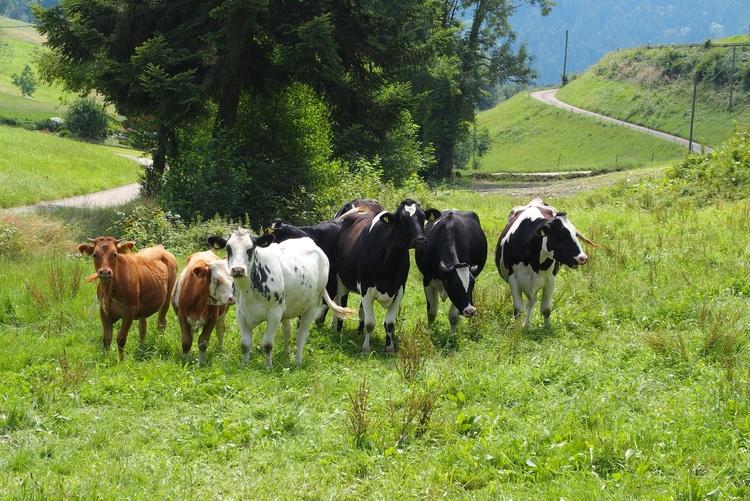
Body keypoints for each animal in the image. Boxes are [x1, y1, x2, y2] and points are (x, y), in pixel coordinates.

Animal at [207, 229, 354, 368]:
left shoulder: (275, 313)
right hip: (288, 309)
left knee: (302, 335)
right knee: (288, 330)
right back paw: (286, 354)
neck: (248, 292)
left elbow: (267, 344)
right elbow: (245, 343)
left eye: (251, 248)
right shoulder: (241, 312)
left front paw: (268, 366)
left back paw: (298, 361)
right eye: (228, 248)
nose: (238, 270)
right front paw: (244, 364)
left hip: (312, 305)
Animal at [335, 199, 427, 354]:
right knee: (341, 304)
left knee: (361, 310)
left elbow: (389, 323)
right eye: (402, 219)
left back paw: (359, 331)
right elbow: (370, 323)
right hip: (340, 280)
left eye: (423, 218)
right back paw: (337, 330)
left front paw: (389, 348)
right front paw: (366, 349)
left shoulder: (399, 289)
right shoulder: (365, 287)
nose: (420, 241)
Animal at [495, 199, 589, 327]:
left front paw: (547, 328)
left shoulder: (550, 280)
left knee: (531, 301)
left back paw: (527, 324)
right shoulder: (513, 280)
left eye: (575, 233)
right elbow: (518, 310)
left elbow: (546, 309)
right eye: (563, 235)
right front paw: (517, 329)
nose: (583, 258)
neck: (533, 261)